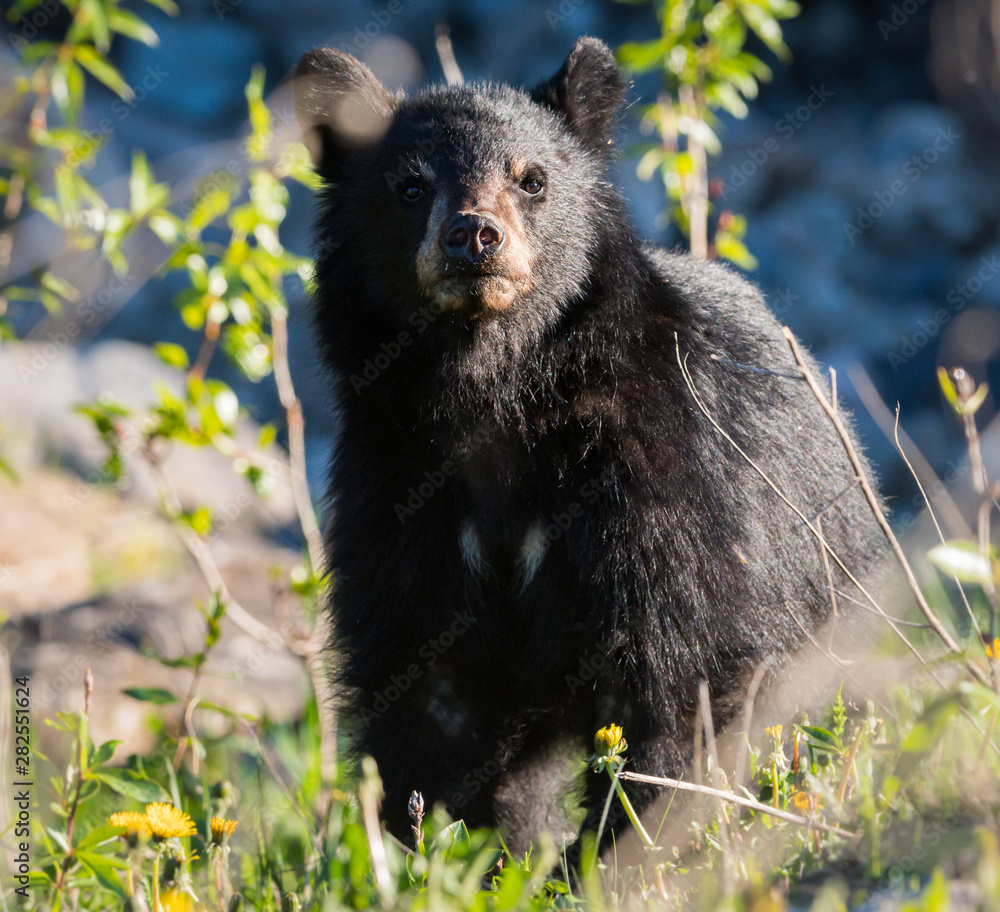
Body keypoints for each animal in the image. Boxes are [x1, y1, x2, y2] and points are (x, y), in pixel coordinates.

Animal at [293, 37, 885, 861]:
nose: (473, 235)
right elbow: (426, 689)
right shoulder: (398, 490)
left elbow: (675, 671)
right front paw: (443, 852)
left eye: (533, 179)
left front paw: (620, 855)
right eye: (410, 187)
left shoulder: (653, 480)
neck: (493, 393)